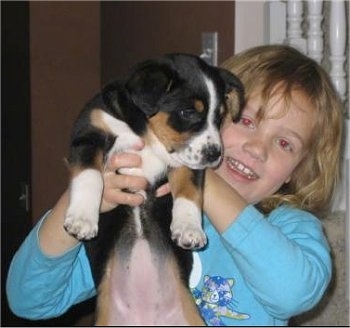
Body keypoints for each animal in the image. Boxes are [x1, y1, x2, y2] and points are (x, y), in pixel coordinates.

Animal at [63, 53, 243, 326]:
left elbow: (190, 194)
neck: (147, 135)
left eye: (219, 117)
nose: (215, 155)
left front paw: (189, 229)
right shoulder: (89, 134)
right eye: (188, 112)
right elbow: (90, 177)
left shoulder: (186, 163)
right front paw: (83, 219)